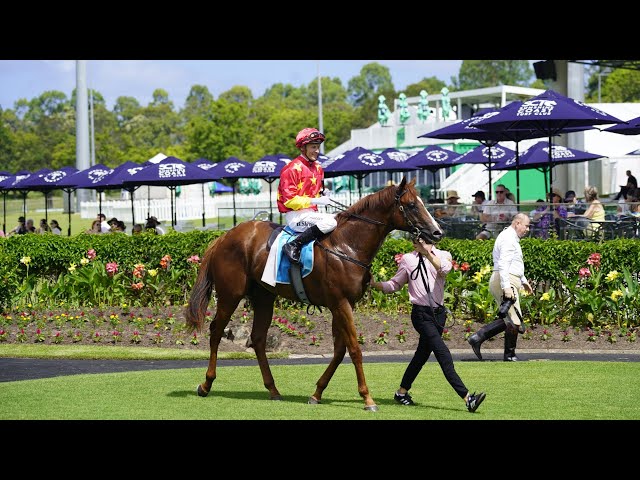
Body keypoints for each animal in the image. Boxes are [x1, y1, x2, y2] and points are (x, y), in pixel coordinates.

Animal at [188, 178, 442, 410]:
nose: (437, 232)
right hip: (230, 294)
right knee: (216, 331)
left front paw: (317, 393)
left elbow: (340, 351)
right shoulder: (340, 303)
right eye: (411, 205)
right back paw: (206, 384)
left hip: (264, 297)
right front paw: (367, 398)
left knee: (258, 338)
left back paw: (273, 389)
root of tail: (224, 236)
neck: (347, 246)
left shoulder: (343, 305)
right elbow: (354, 349)